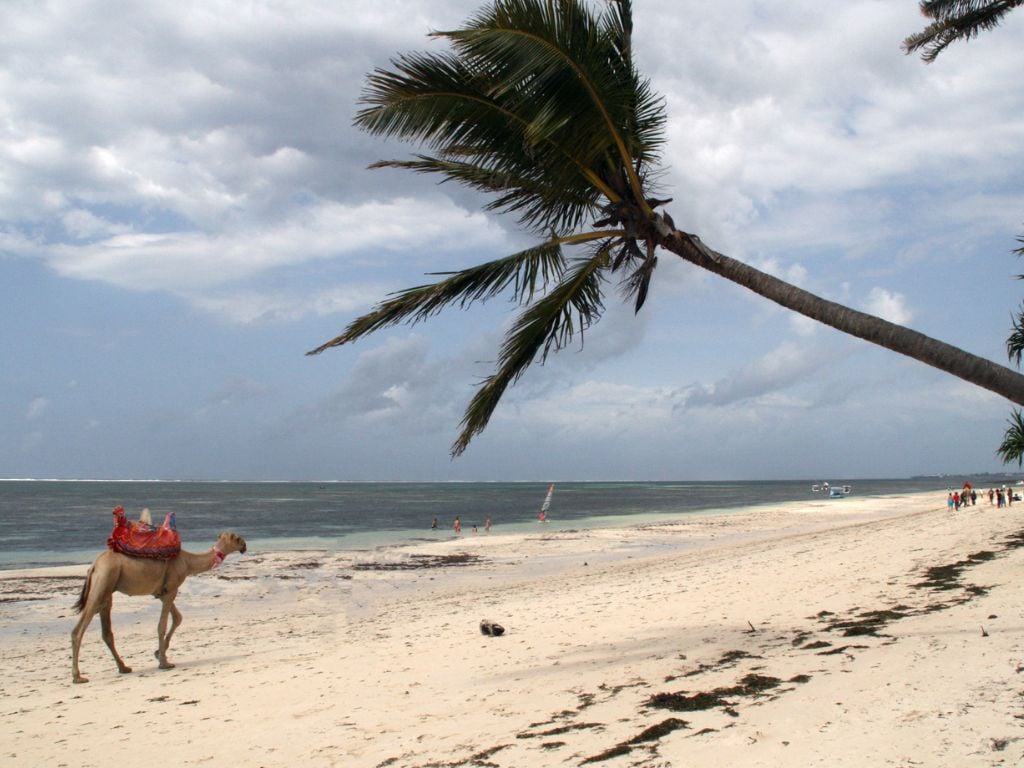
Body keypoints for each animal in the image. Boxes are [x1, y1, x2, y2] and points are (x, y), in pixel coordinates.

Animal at [70, 528, 245, 684]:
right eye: (237, 538)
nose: (244, 546)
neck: (187, 562)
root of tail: (94, 566)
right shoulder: (171, 590)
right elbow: (162, 625)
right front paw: (164, 663)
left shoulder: (163, 593)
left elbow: (178, 618)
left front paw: (158, 653)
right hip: (103, 581)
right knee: (79, 629)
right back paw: (78, 677)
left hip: (107, 589)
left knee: (107, 631)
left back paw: (124, 668)